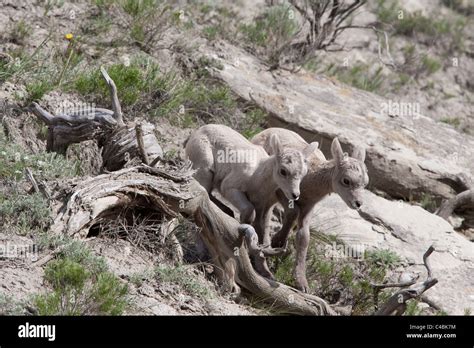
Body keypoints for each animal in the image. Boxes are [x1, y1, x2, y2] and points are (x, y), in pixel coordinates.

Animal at [184, 124, 314, 278]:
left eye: (304, 173)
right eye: (283, 171)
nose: (295, 195)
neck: (257, 175)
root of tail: (199, 131)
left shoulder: (262, 206)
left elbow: (261, 232)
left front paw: (265, 271)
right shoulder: (231, 189)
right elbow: (248, 214)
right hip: (204, 172)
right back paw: (201, 252)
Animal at [252, 128, 370, 290]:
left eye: (365, 183)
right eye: (346, 181)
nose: (358, 203)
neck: (310, 183)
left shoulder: (309, 207)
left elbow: (304, 237)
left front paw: (302, 283)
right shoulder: (282, 192)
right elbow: (292, 212)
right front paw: (278, 241)